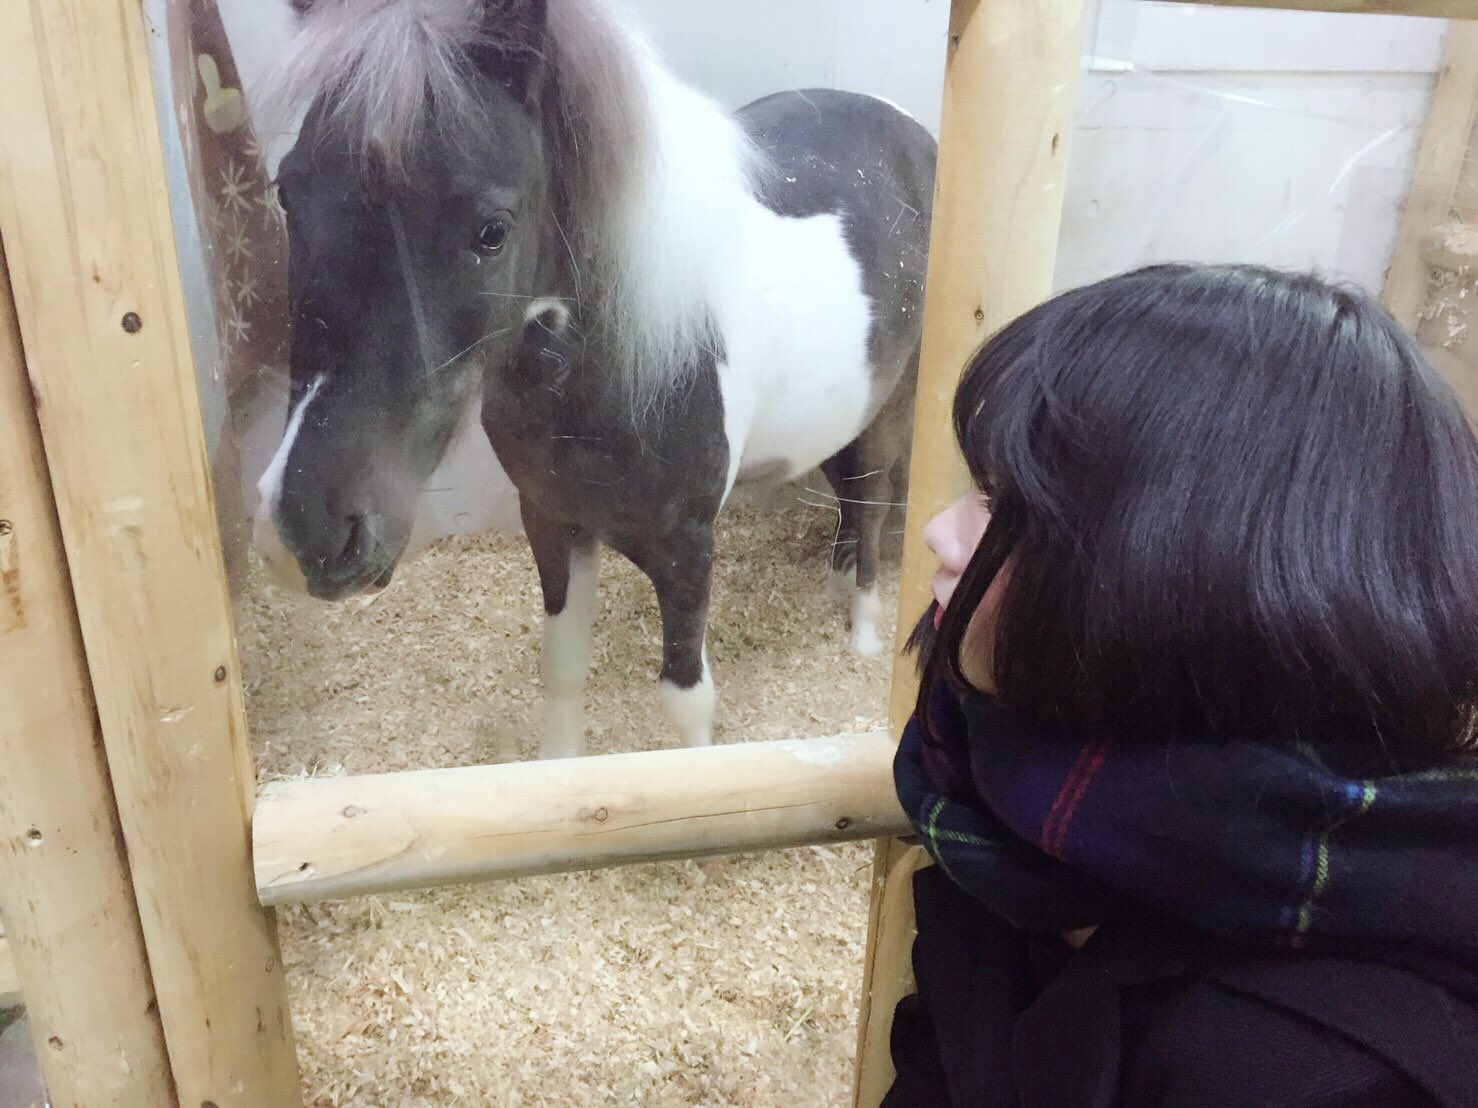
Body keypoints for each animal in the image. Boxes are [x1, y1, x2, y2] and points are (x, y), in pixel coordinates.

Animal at [254, 0, 934, 762]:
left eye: (492, 231)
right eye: (288, 192)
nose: (305, 532)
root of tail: (910, 129)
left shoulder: (687, 546)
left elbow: (687, 701)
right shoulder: (553, 521)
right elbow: (562, 670)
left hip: (890, 412)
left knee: (873, 502)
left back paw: (863, 631)